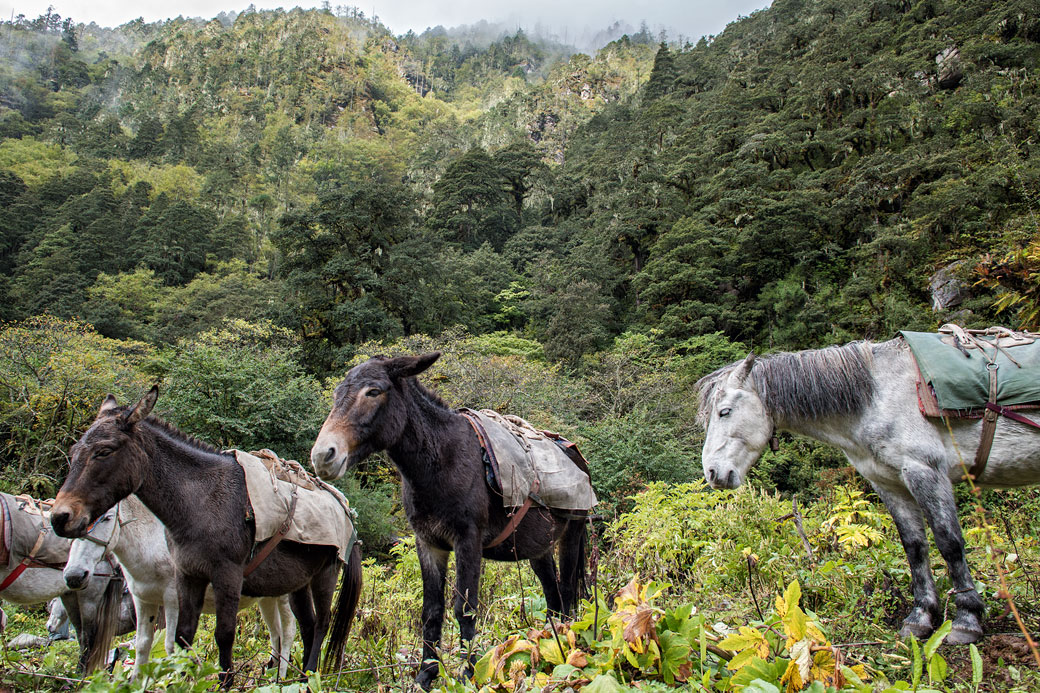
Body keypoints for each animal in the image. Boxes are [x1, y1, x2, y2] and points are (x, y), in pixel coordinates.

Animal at [63, 493, 297, 678]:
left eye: (107, 518)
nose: (74, 575)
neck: (150, 542)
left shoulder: (173, 600)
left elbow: (171, 646)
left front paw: (178, 678)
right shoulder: (143, 600)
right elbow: (142, 645)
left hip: (285, 596)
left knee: (287, 631)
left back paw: (282, 676)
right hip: (268, 597)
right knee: (274, 631)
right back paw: (271, 670)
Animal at [694, 337, 1040, 645]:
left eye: (725, 411)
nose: (712, 472)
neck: (876, 395)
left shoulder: (925, 470)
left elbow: (949, 541)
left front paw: (967, 619)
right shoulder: (889, 482)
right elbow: (915, 546)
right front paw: (921, 617)